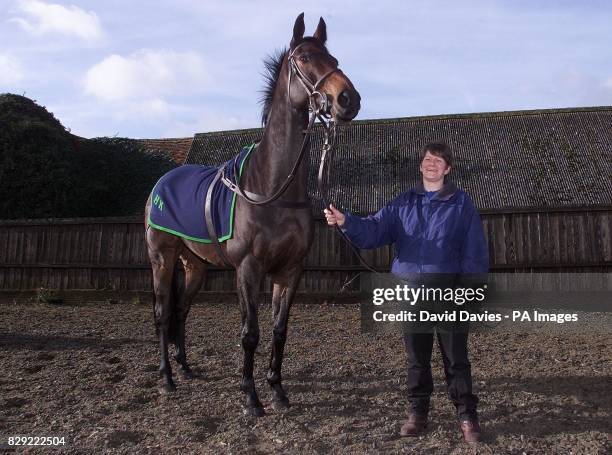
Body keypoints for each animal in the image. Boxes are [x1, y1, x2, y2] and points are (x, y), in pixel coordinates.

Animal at [145, 12, 360, 418]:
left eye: (334, 58)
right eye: (303, 58)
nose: (348, 99)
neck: (272, 187)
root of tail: (160, 185)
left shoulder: (289, 271)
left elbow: (279, 330)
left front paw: (277, 390)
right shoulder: (248, 268)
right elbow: (250, 333)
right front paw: (250, 397)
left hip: (194, 266)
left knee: (182, 310)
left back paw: (186, 368)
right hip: (162, 258)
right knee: (164, 313)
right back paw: (166, 378)